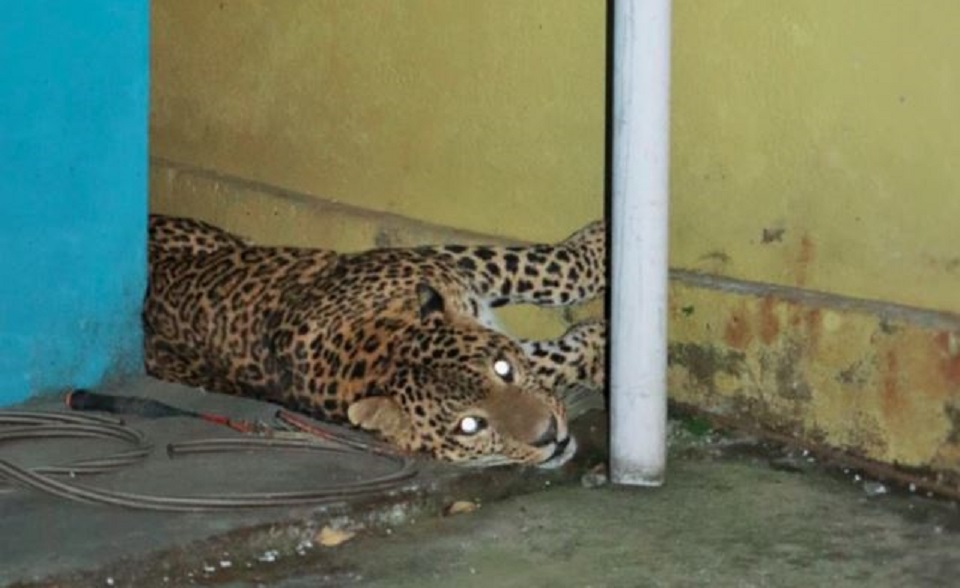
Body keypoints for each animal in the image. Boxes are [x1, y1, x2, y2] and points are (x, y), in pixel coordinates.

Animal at [144, 214, 607, 468]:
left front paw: (600, 243)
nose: (551, 436)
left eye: (503, 369)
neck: (384, 347)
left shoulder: (449, 266)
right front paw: (601, 348)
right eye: (470, 426)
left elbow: (543, 266)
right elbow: (557, 349)